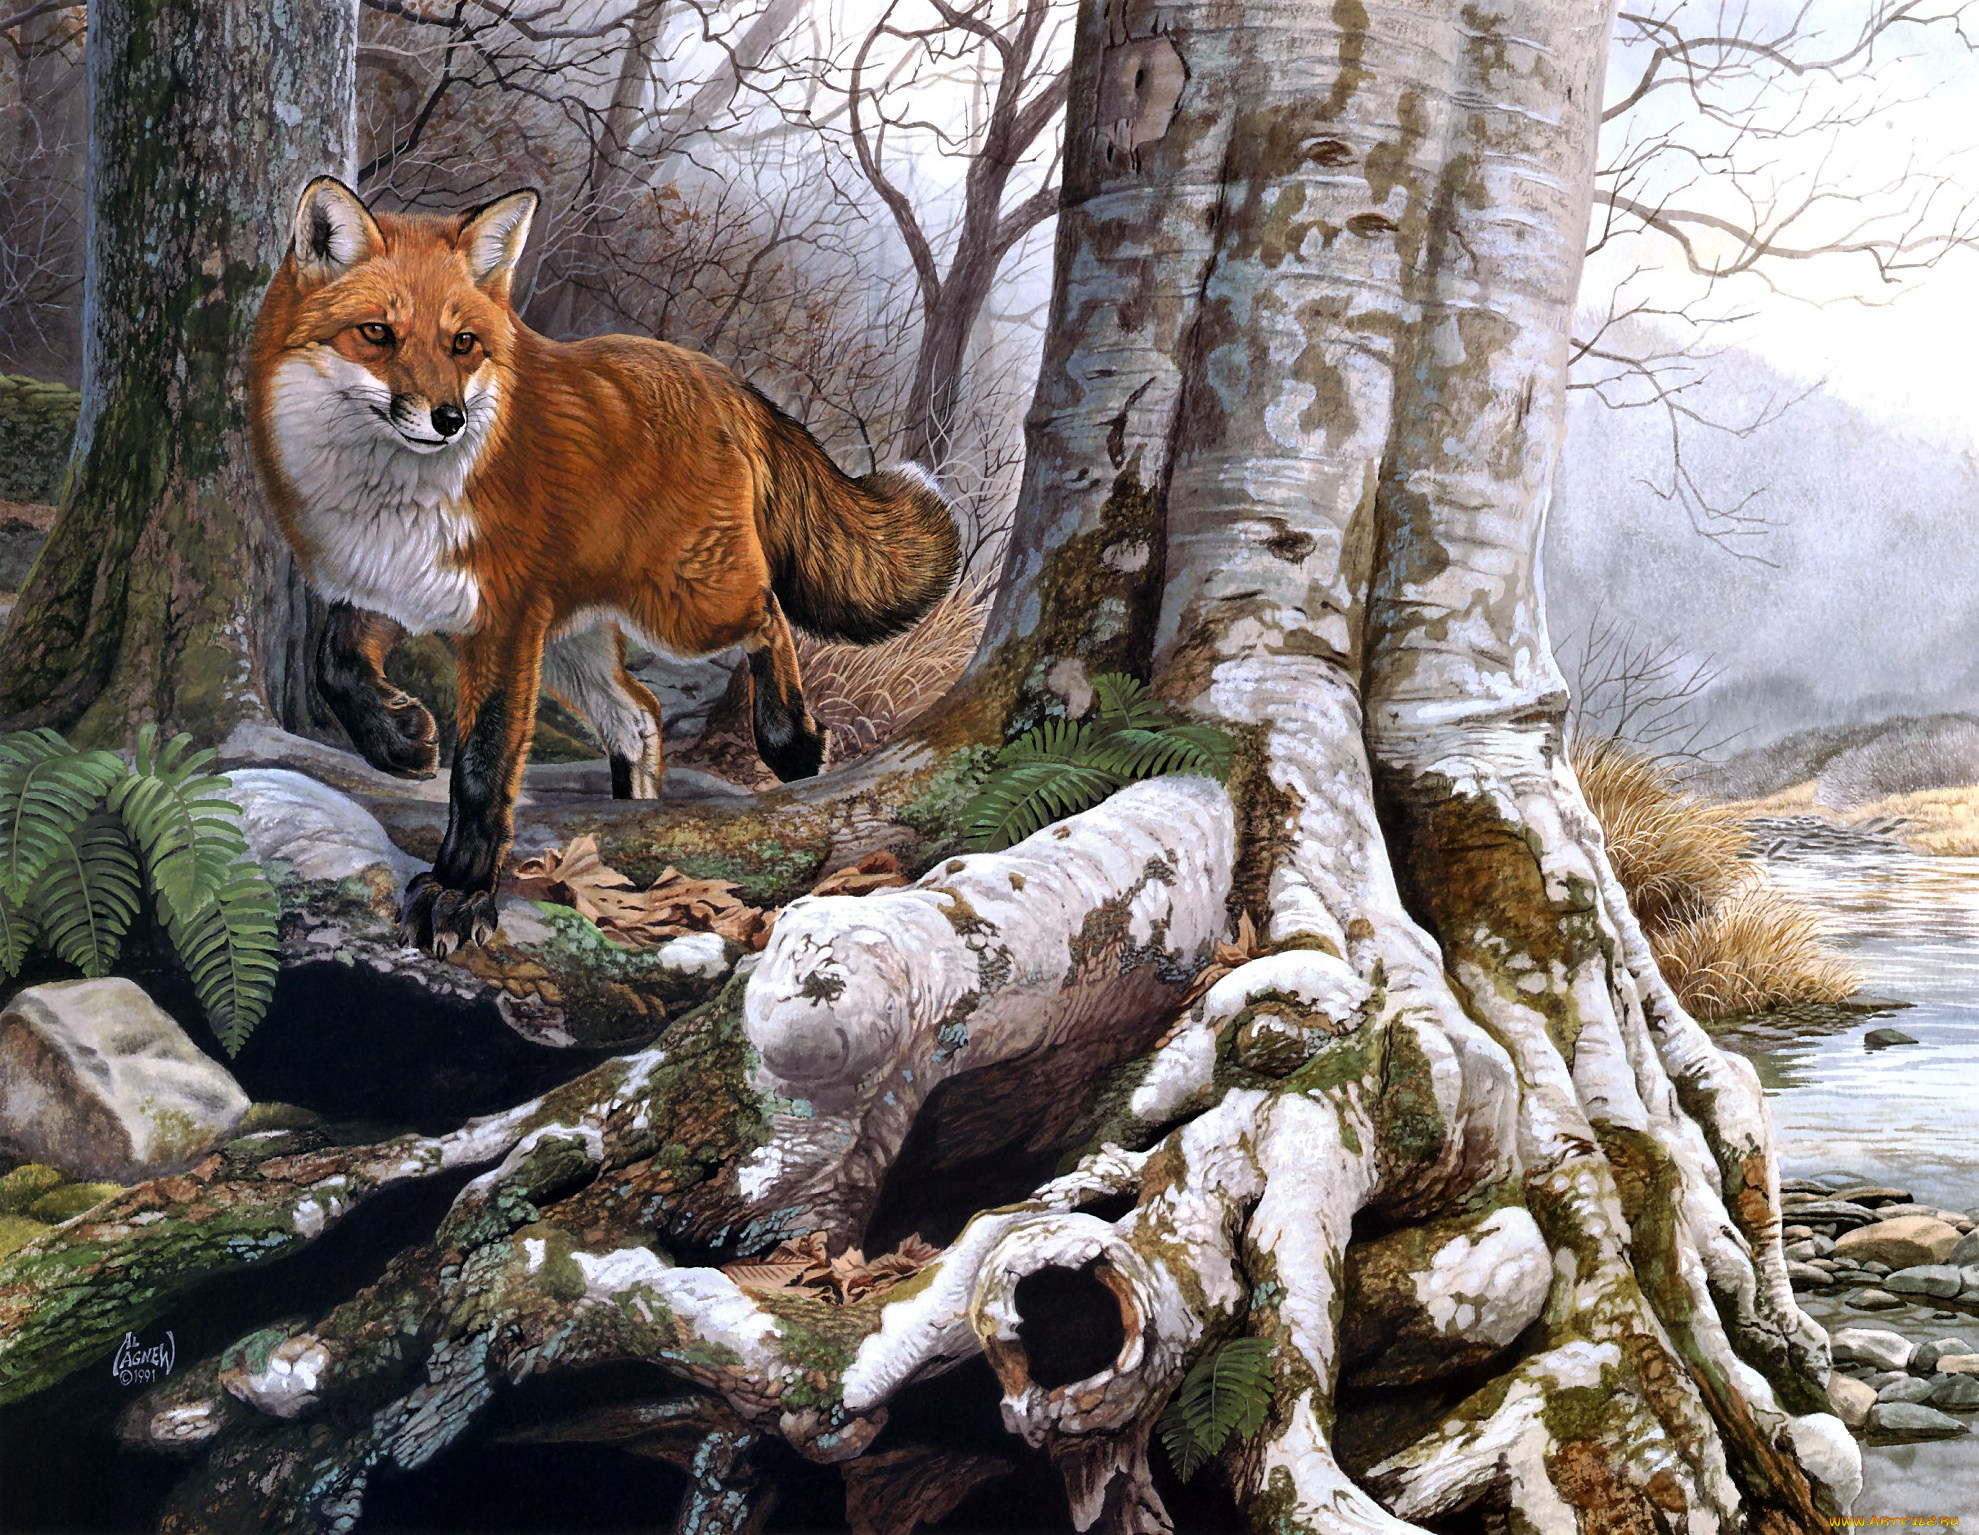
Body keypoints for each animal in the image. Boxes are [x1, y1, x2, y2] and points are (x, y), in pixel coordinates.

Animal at [248, 177, 959, 955]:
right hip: (570, 642)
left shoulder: (501, 623)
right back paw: (636, 815)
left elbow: (483, 767)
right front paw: (400, 741)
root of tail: (718, 376)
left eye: (463, 344)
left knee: (768, 615)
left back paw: (790, 740)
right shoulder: (393, 587)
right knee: (639, 715)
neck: (390, 498)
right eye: (377, 333)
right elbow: (335, 664)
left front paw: (459, 892)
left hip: (684, 607)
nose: (448, 419)